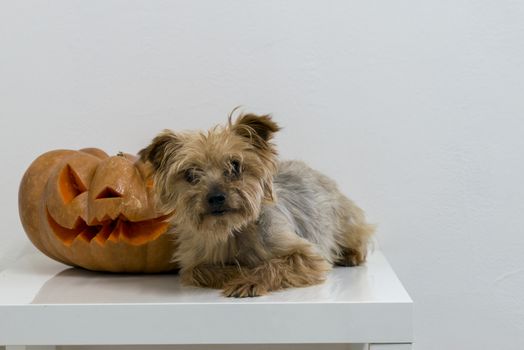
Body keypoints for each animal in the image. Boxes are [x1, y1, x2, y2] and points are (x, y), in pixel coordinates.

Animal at [137, 113, 374, 296]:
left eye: (235, 166)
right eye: (190, 174)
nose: (216, 197)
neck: (231, 229)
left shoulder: (308, 256)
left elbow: (273, 264)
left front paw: (248, 280)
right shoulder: (192, 263)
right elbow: (203, 269)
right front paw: (237, 272)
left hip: (345, 220)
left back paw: (351, 255)